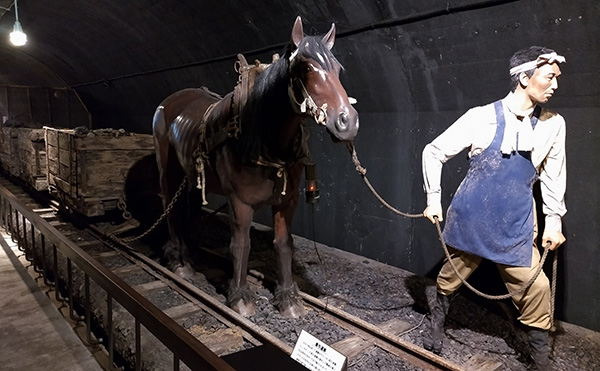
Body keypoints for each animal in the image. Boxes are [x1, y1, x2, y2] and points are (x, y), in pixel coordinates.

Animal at [152, 16, 358, 320]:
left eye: (339, 69)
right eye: (307, 67)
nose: (347, 121)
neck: (261, 134)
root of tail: (171, 102)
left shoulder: (287, 200)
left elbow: (284, 244)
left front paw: (288, 298)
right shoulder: (239, 201)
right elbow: (241, 245)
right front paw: (239, 296)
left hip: (191, 173)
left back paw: (191, 252)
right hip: (167, 171)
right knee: (169, 206)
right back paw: (179, 261)